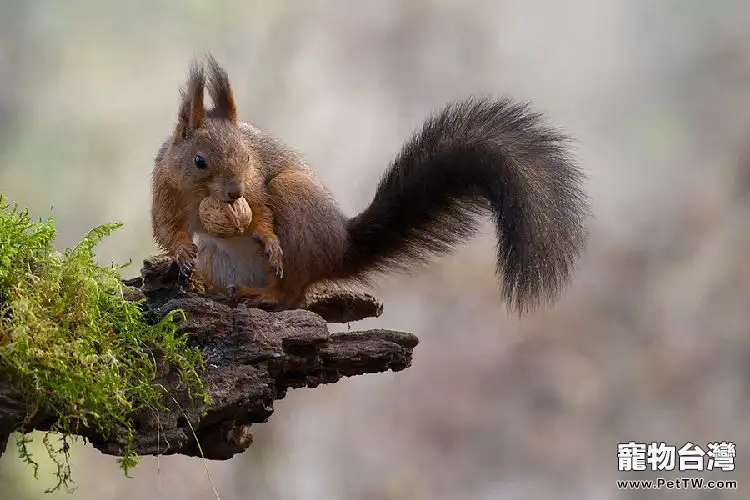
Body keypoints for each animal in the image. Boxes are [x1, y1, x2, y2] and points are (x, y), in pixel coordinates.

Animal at [150, 54, 592, 312]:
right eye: (199, 161)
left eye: (247, 156)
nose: (234, 193)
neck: (201, 196)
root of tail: (340, 249)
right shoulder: (165, 189)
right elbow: (166, 228)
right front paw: (179, 253)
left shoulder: (257, 184)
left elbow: (259, 211)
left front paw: (268, 237)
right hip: (218, 260)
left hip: (293, 197)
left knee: (294, 294)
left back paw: (267, 292)